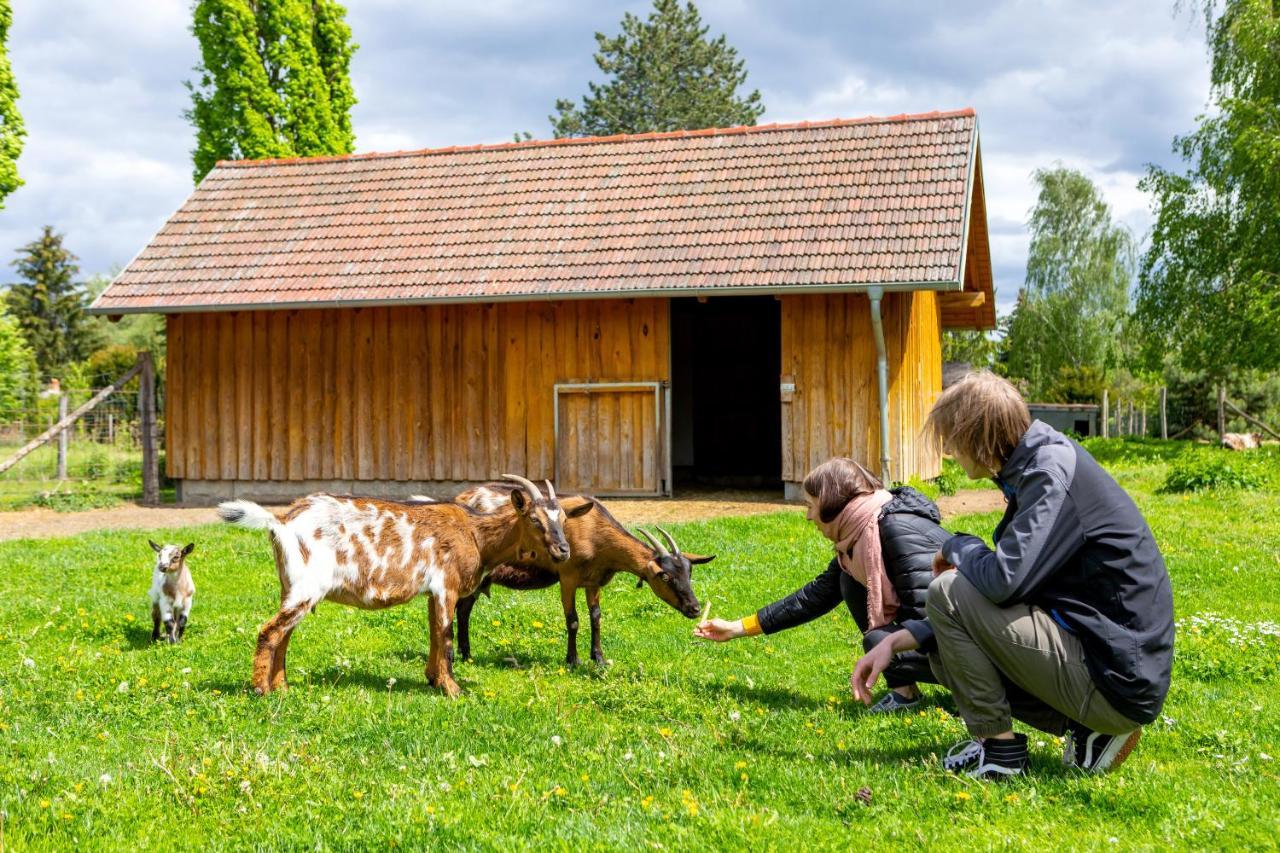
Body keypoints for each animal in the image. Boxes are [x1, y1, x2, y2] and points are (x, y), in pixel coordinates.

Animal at [221, 473, 581, 696]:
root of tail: (281, 521)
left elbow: (434, 633)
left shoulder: (433, 592)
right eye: (534, 520)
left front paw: (433, 680)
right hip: (307, 586)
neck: (476, 534)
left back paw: (282, 687)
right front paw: (453, 690)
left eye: (563, 519)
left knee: (283, 634)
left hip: (292, 587)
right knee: (270, 631)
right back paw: (262, 690)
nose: (563, 550)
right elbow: (446, 636)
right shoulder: (446, 586)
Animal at [450, 481, 716, 660]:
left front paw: (598, 658)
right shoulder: (567, 578)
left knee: (464, 609)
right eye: (665, 576)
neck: (594, 532)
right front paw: (572, 660)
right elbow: (573, 620)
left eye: (689, 573)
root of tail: (461, 497)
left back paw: (466, 654)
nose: (694, 608)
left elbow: (596, 617)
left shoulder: (593, 581)